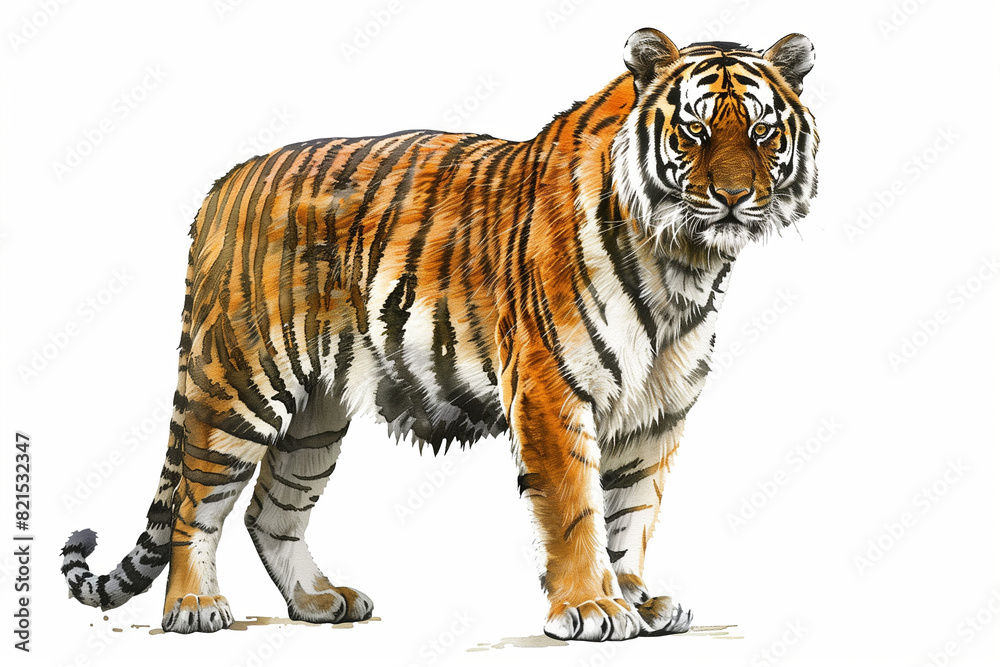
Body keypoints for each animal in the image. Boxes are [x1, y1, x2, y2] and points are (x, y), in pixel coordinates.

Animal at [61, 28, 818, 641]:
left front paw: (637, 599)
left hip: (315, 415)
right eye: (694, 132)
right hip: (242, 382)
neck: (683, 263)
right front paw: (592, 608)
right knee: (198, 500)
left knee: (269, 511)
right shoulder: (551, 388)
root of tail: (222, 188)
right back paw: (193, 607)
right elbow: (578, 511)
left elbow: (631, 514)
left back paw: (320, 601)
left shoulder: (655, 410)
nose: (732, 197)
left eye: (761, 133)